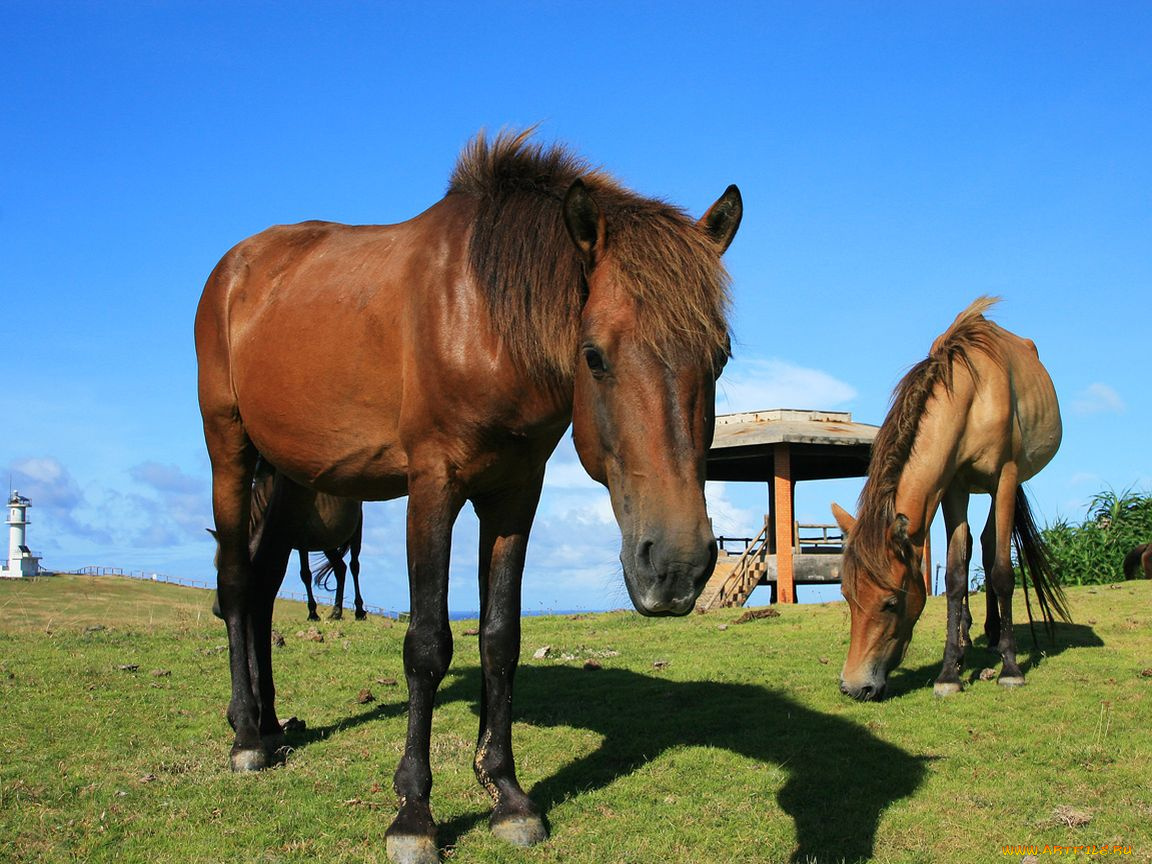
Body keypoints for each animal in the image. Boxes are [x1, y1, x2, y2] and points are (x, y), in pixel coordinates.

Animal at [194, 128, 741, 864]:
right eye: (593, 354)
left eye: (721, 356)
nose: (677, 567)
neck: (483, 316)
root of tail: (234, 268)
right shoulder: (433, 488)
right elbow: (427, 645)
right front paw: (413, 814)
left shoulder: (513, 495)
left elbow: (499, 638)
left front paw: (507, 795)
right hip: (229, 449)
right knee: (232, 583)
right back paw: (248, 738)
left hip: (287, 476)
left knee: (257, 591)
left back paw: (272, 723)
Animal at [829, 299, 1069, 705]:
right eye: (847, 595)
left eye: (891, 602)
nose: (853, 686)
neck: (974, 395)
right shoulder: (953, 486)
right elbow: (956, 574)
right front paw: (949, 672)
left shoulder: (1004, 479)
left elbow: (1002, 570)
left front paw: (1011, 668)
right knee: (976, 546)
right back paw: (968, 639)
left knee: (991, 548)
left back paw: (996, 639)